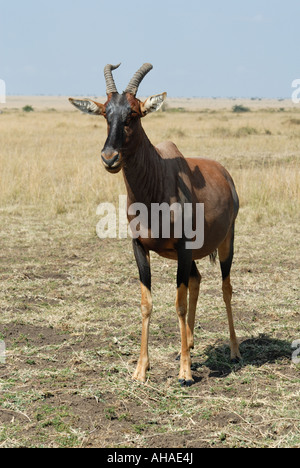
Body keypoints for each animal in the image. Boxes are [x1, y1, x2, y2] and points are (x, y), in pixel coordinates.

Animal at [69, 64, 240, 386]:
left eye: (134, 114)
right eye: (105, 113)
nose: (109, 158)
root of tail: (225, 174)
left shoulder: (184, 248)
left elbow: (179, 303)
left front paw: (185, 374)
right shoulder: (139, 247)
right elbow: (147, 303)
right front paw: (140, 370)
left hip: (226, 243)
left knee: (225, 287)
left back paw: (234, 352)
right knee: (197, 280)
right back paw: (188, 345)